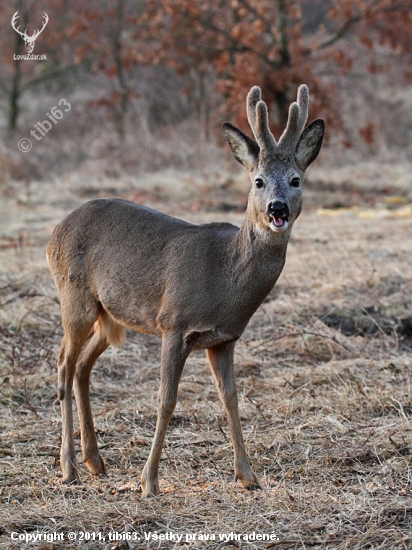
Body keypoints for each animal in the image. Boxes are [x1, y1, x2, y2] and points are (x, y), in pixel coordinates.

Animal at [47, 84, 326, 498]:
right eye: (258, 181)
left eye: (295, 180)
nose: (277, 209)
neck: (225, 278)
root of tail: (54, 233)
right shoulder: (174, 324)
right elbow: (166, 399)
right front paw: (149, 481)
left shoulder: (224, 339)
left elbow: (231, 398)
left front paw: (248, 475)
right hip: (74, 299)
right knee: (64, 364)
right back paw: (68, 468)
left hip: (110, 314)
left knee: (82, 366)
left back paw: (95, 461)